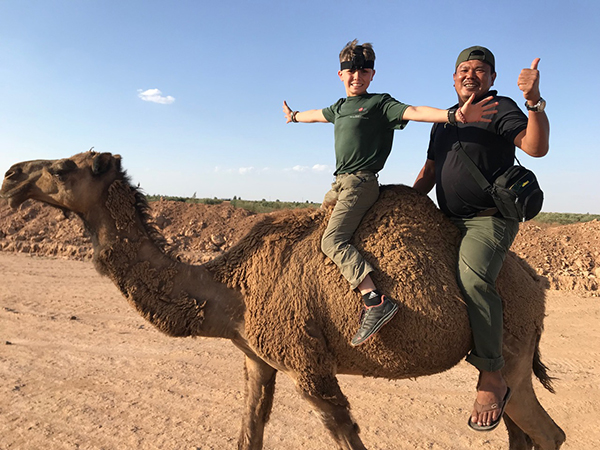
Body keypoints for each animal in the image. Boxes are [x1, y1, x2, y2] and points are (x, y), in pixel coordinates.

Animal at [0, 151, 564, 450]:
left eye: (63, 168)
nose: (11, 175)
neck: (233, 290)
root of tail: (536, 283)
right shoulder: (257, 360)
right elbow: (250, 430)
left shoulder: (307, 365)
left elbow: (345, 432)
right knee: (521, 432)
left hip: (512, 353)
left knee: (549, 433)